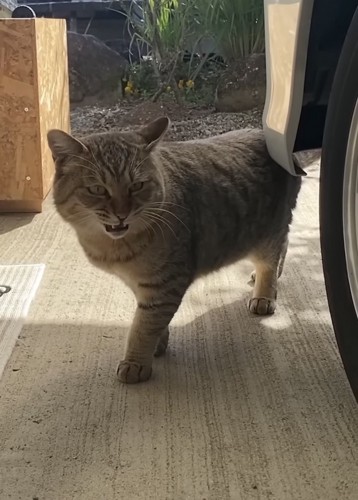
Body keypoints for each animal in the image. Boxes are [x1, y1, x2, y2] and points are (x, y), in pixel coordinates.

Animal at [46, 116, 300, 382]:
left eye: (137, 185)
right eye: (97, 189)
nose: (122, 213)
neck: (116, 247)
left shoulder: (165, 285)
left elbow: (143, 327)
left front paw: (136, 362)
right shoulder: (144, 287)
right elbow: (152, 322)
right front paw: (159, 343)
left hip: (267, 233)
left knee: (270, 262)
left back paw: (264, 295)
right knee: (284, 246)